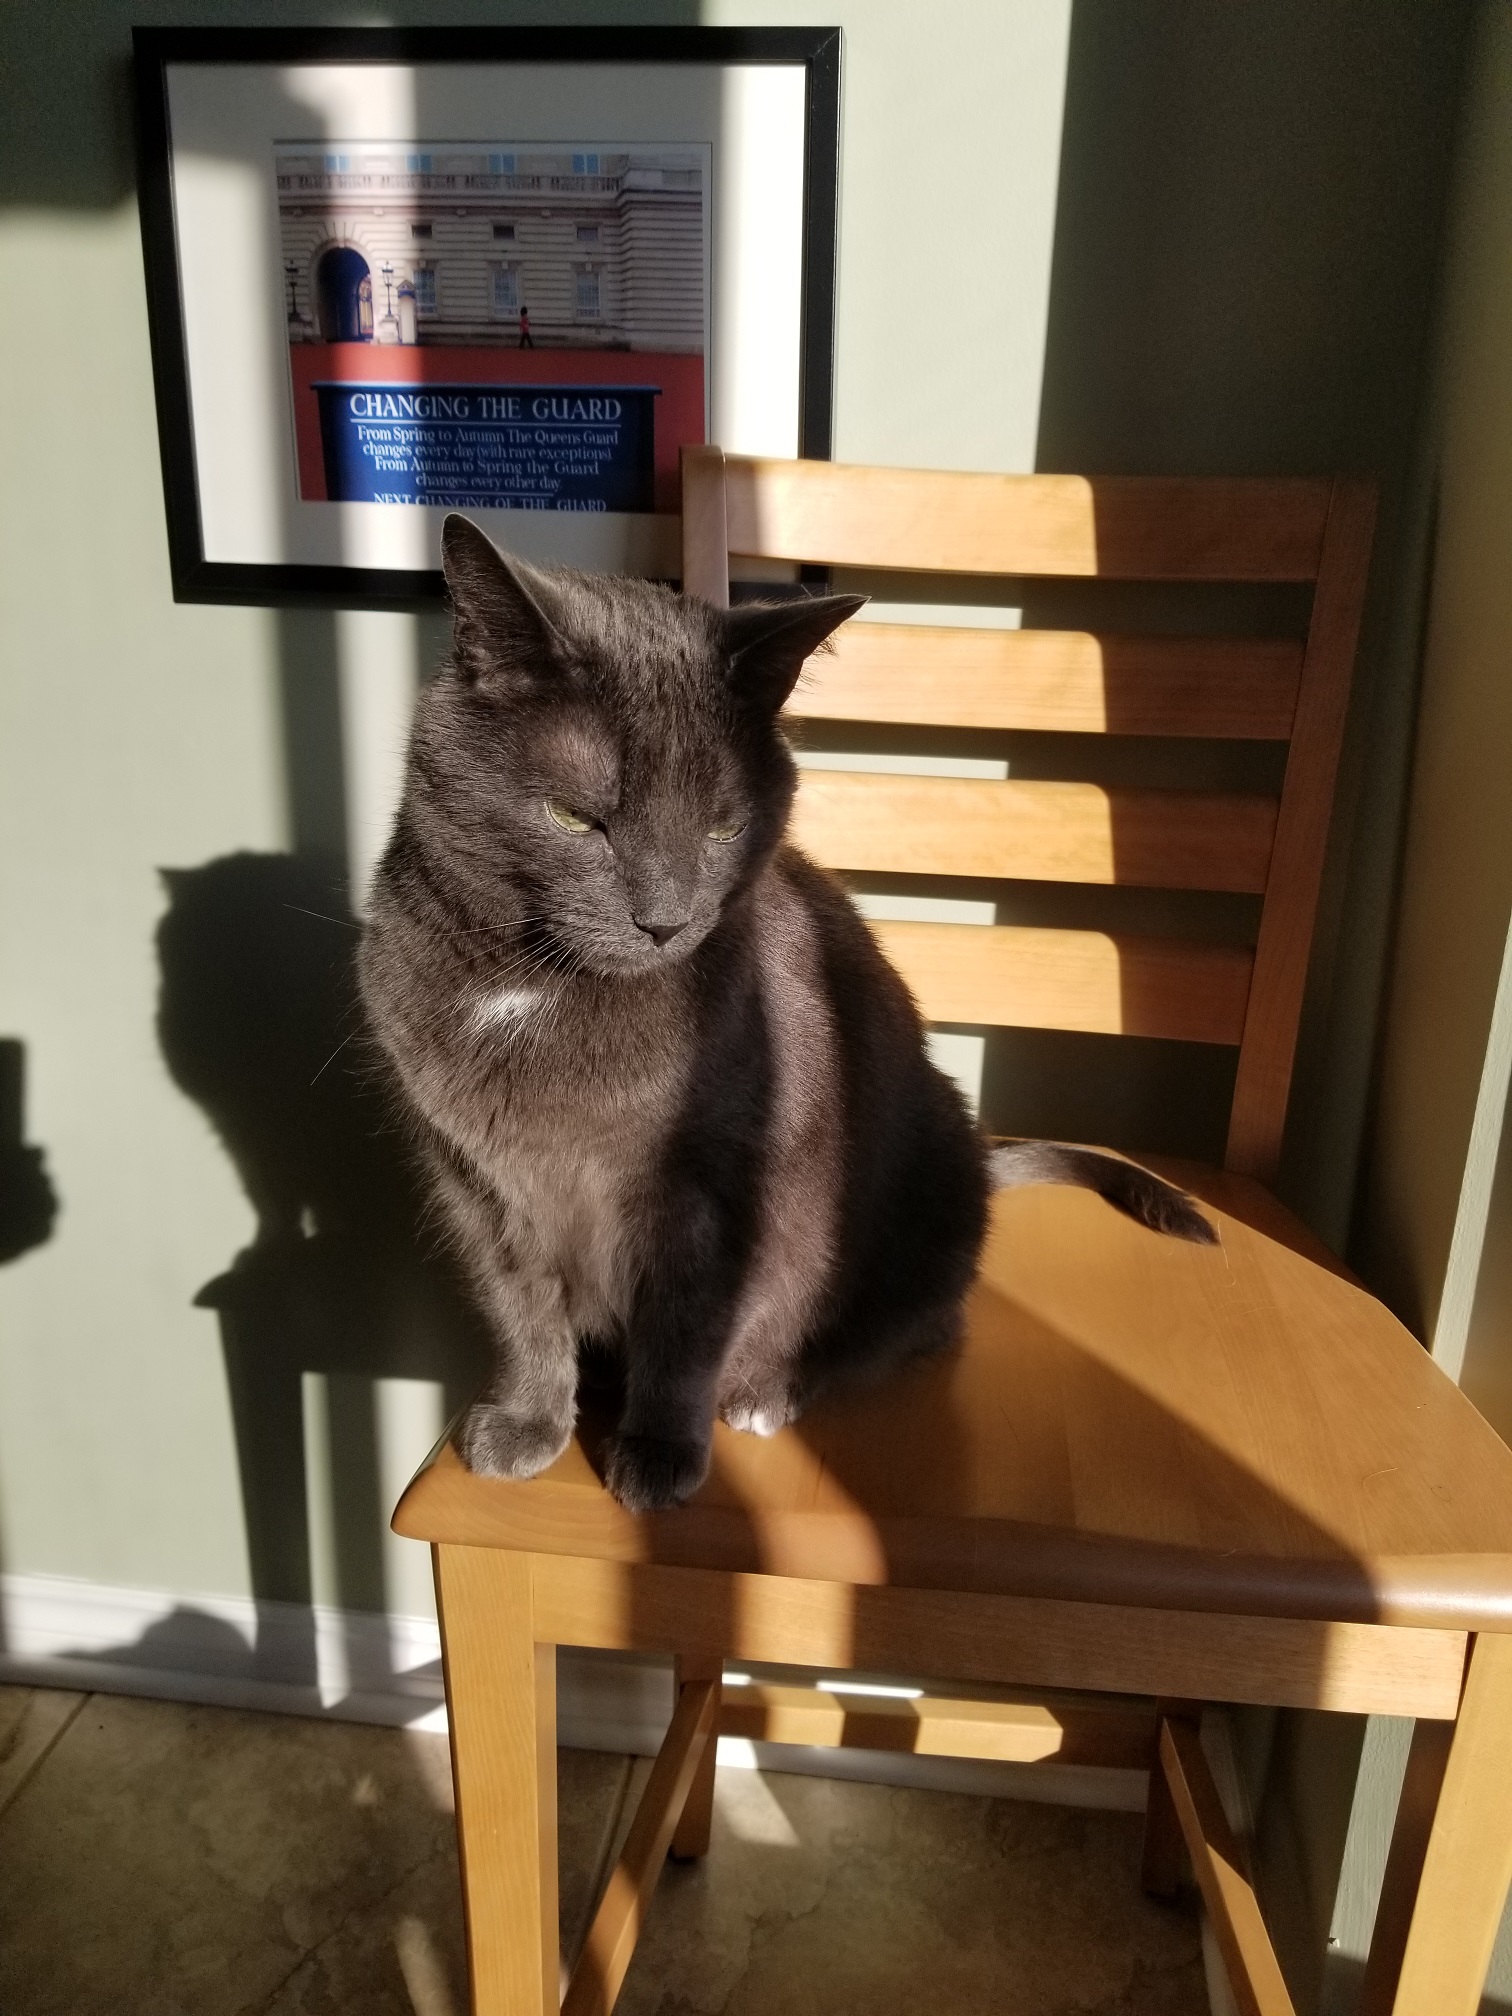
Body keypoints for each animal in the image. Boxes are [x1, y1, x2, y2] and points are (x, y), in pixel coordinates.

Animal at [358, 515, 1213, 1513]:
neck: (539, 989)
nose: (665, 920)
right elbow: (520, 1310)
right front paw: (529, 1426)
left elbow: (687, 1328)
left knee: (916, 1326)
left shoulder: (718, 1187)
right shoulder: (477, 1181)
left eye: (724, 829)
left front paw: (658, 1457)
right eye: (576, 817)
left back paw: (768, 1391)